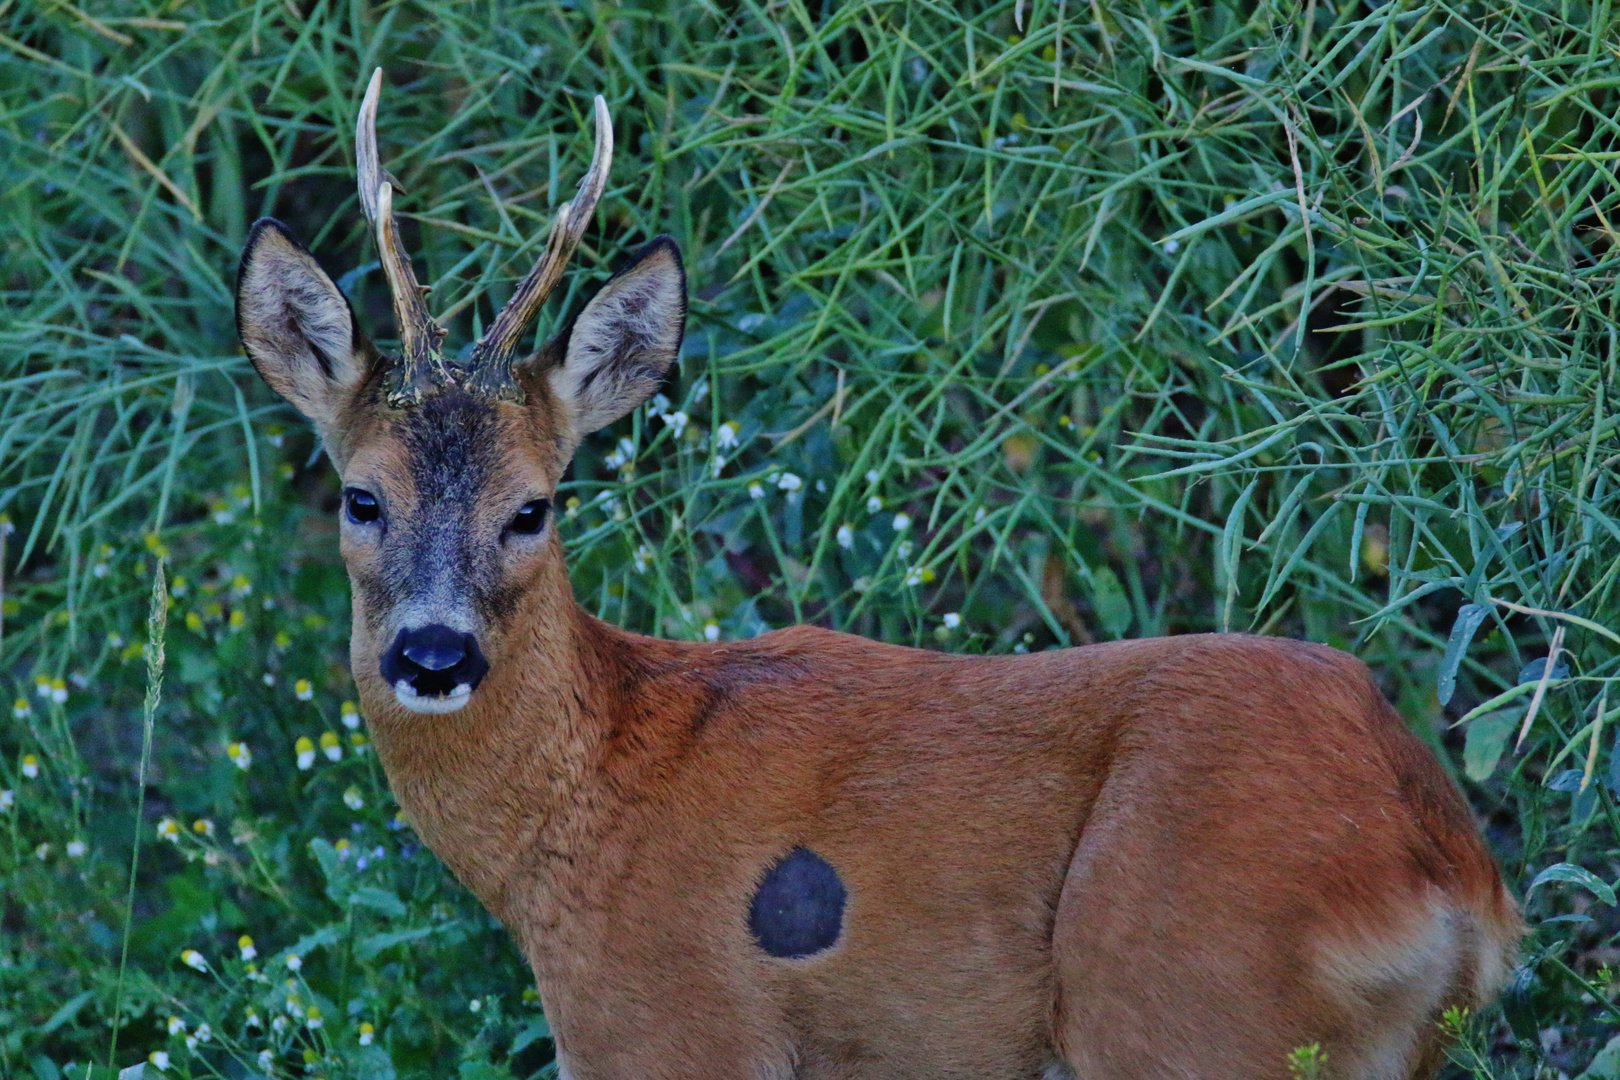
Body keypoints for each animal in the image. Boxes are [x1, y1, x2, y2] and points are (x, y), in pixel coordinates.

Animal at [236, 71, 1516, 1080]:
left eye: (532, 509)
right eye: (363, 498)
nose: (433, 654)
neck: (587, 808)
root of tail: (1453, 882)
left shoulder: (664, 1025)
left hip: (1184, 1007)